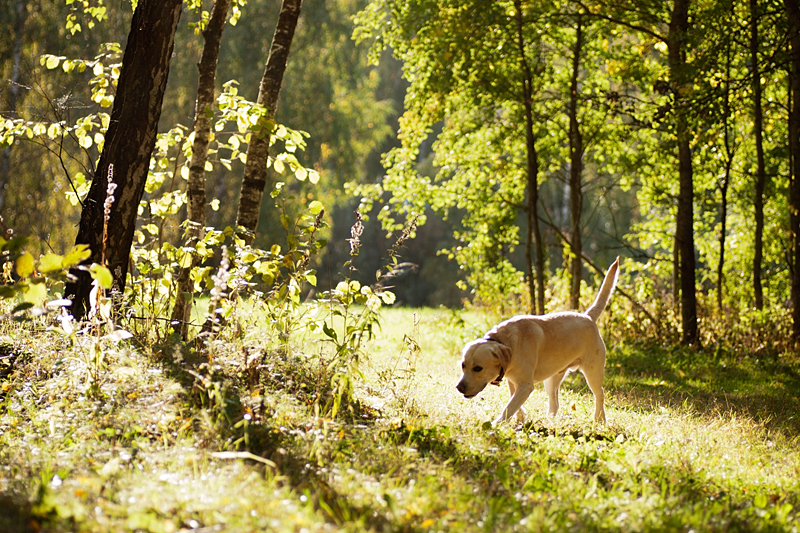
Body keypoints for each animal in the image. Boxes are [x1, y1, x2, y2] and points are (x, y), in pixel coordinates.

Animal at [456, 258, 620, 424]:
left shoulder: (525, 386)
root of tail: (588, 317)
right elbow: (514, 402)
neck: (508, 344)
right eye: (463, 366)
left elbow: (509, 406)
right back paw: (549, 421)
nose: (459, 387)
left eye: (478, 368)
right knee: (554, 403)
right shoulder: (513, 382)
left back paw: (599, 418)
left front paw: (498, 423)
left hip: (593, 373)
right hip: (552, 380)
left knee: (600, 394)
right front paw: (520, 416)